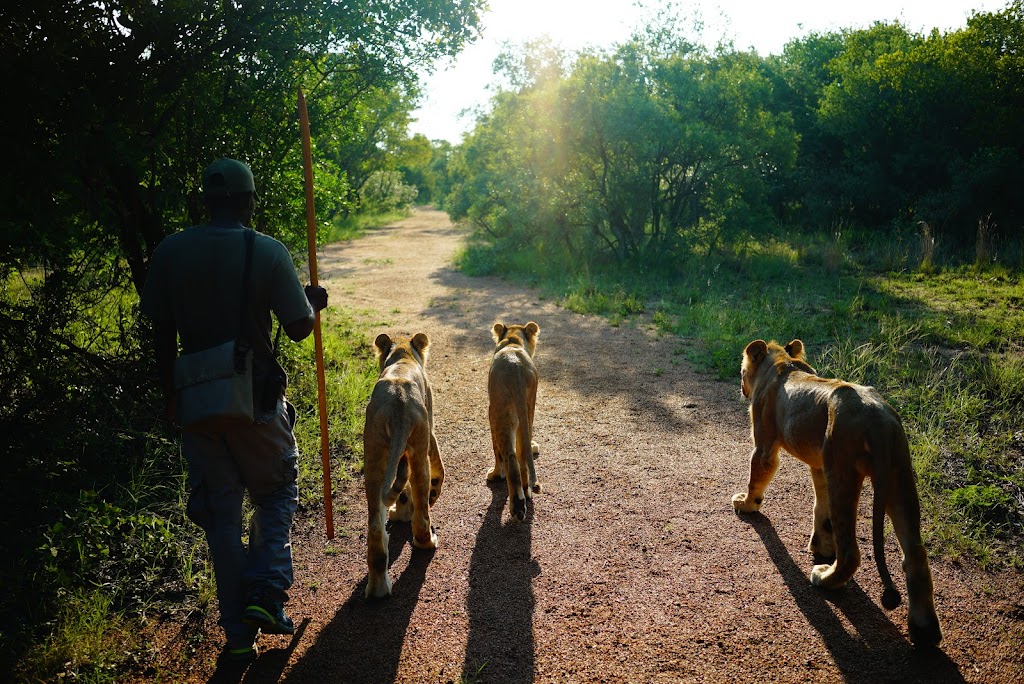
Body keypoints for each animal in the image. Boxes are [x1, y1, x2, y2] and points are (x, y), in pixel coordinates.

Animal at [362, 331, 442, 597]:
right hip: (418, 446)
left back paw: (377, 590)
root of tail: (397, 403)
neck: (403, 355)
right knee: (422, 511)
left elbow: (402, 489)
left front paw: (399, 514)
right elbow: (438, 468)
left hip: (374, 455)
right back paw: (427, 542)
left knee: (376, 526)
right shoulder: (430, 430)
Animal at [489, 323, 544, 520]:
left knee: (510, 457)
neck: (512, 340)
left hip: (500, 415)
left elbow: (496, 450)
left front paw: (496, 474)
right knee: (522, 453)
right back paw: (527, 491)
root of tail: (515, 367)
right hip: (526, 409)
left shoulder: (490, 413)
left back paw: (518, 507)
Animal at [733, 339, 937, 643]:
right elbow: (821, 507)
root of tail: (877, 419)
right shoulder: (819, 466)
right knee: (915, 554)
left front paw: (746, 503)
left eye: (742, 371)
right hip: (898, 476)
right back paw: (925, 631)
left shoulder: (765, 443)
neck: (781, 363)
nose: (740, 386)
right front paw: (822, 546)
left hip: (844, 471)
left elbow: (757, 474)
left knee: (851, 551)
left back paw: (825, 579)